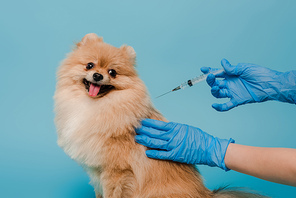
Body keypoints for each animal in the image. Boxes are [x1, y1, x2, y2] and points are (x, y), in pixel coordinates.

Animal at [54, 33, 268, 197]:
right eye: (89, 65)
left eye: (113, 72)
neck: (94, 106)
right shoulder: (96, 173)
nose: (98, 75)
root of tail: (206, 194)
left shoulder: (115, 173)